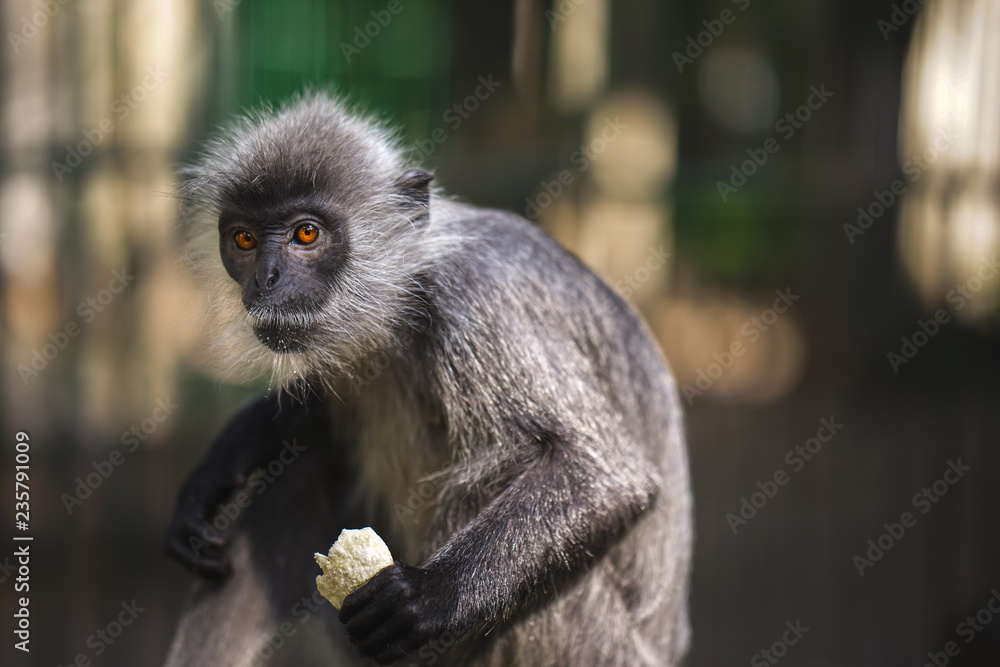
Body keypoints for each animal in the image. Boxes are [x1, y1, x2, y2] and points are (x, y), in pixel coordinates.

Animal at [163, 91, 692, 667]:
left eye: (307, 233)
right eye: (244, 240)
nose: (265, 279)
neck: (407, 298)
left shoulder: (481, 296)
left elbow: (605, 475)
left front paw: (428, 596)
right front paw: (220, 464)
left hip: (596, 643)